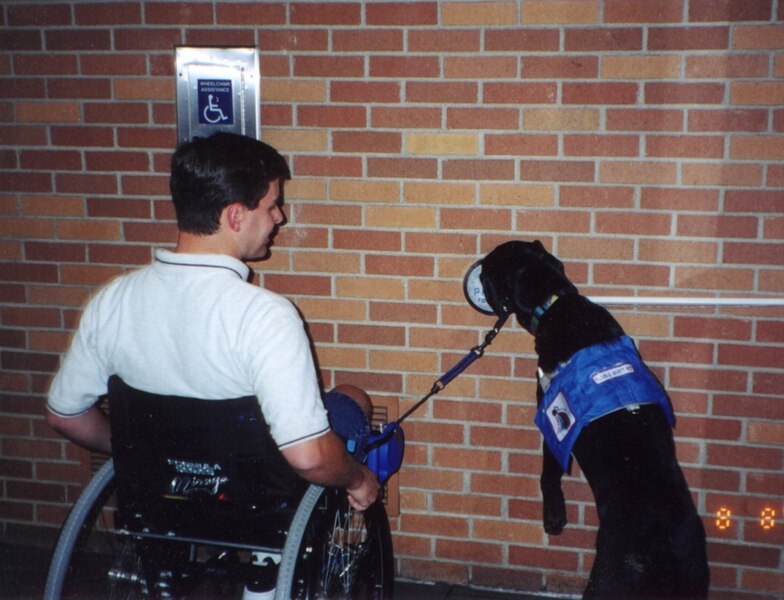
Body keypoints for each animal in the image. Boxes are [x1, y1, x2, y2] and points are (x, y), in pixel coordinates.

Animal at [478, 241, 712, 596]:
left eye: (488, 270)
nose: (475, 273)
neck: (555, 301)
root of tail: (664, 555)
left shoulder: (553, 423)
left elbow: (548, 474)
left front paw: (554, 517)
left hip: (607, 581)